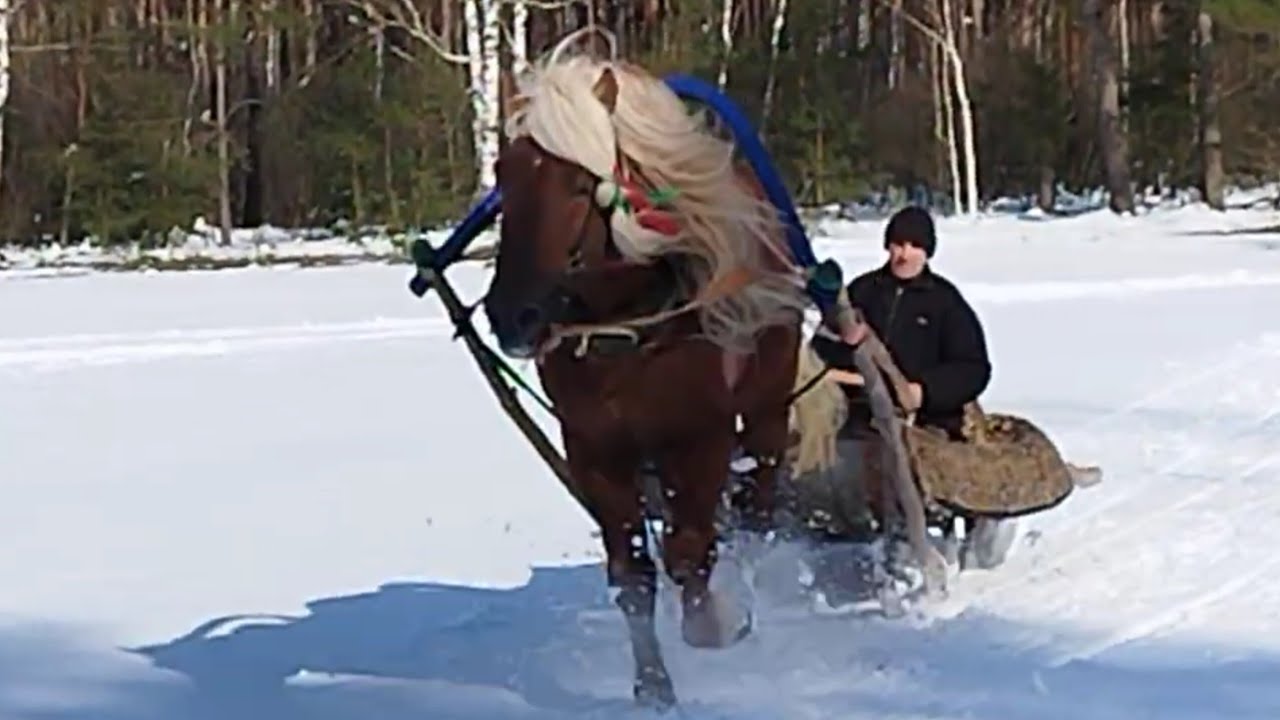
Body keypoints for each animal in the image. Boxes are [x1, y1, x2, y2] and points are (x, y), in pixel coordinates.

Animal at [480, 32, 847, 708]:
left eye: (581, 183)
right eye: (503, 175)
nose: (512, 312)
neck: (628, 327)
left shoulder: (698, 439)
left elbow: (691, 561)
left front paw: (723, 626)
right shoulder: (596, 449)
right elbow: (633, 575)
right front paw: (653, 685)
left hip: (764, 411)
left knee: (755, 513)